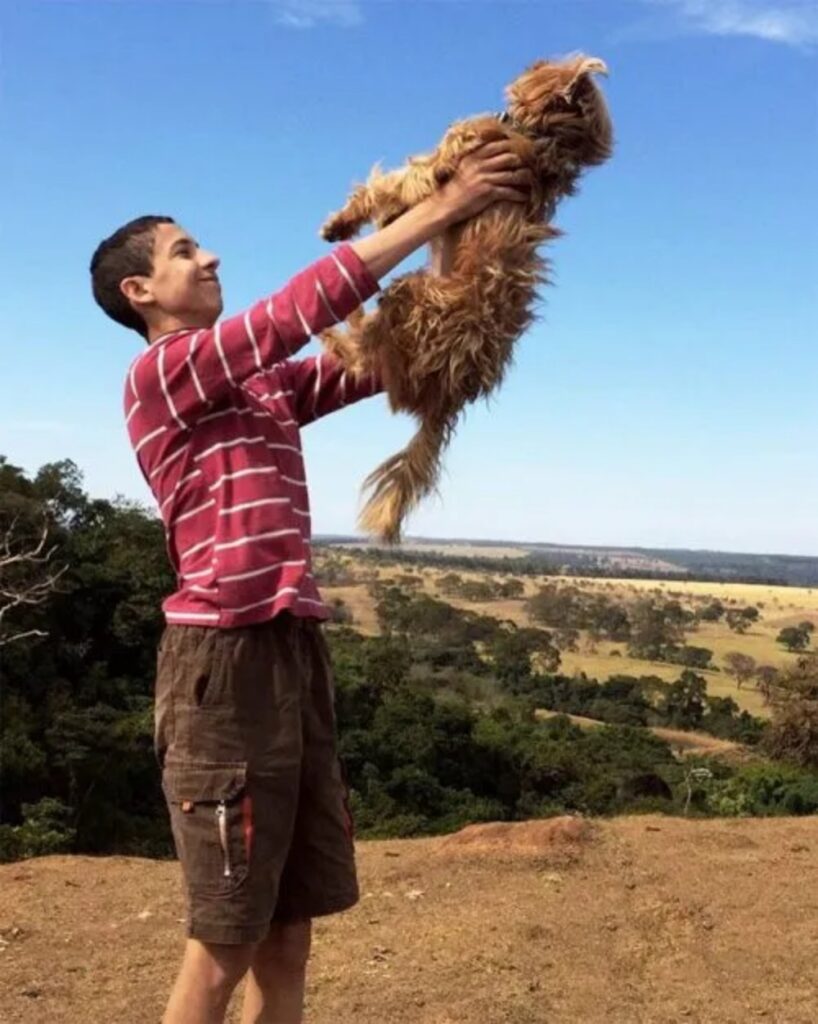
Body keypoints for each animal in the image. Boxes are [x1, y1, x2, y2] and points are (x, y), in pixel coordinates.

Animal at [319, 54, 614, 544]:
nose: (530, 62)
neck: (539, 141)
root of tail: (454, 394)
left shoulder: (445, 161)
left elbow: (392, 184)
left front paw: (344, 221)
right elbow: (395, 202)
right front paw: (379, 221)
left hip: (411, 299)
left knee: (367, 357)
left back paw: (338, 324)